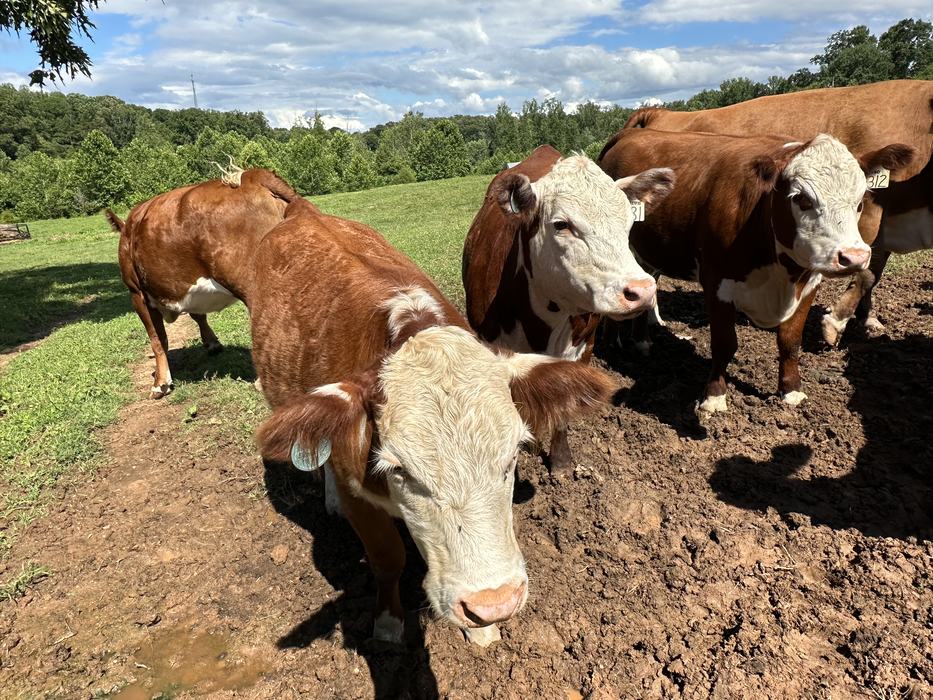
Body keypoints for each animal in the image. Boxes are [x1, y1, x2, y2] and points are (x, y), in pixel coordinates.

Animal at [106, 167, 300, 399]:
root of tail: (253, 176)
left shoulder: (137, 293)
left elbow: (157, 338)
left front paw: (160, 383)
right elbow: (197, 315)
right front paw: (212, 343)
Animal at [250, 197, 616, 646]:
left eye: (513, 455)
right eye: (400, 470)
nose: (495, 602)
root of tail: (302, 210)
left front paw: (484, 630)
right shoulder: (358, 493)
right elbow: (387, 558)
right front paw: (388, 623)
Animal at [599, 128, 914, 414]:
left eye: (860, 201)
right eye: (802, 198)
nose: (854, 257)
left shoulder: (809, 283)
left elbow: (790, 341)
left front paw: (791, 390)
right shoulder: (717, 284)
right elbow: (724, 343)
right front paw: (714, 397)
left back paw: (642, 339)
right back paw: (622, 341)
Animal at [623, 80, 933, 344]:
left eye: (859, 199)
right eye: (802, 200)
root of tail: (659, 113)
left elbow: (872, 270)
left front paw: (866, 320)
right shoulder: (871, 220)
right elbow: (867, 273)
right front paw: (835, 323)